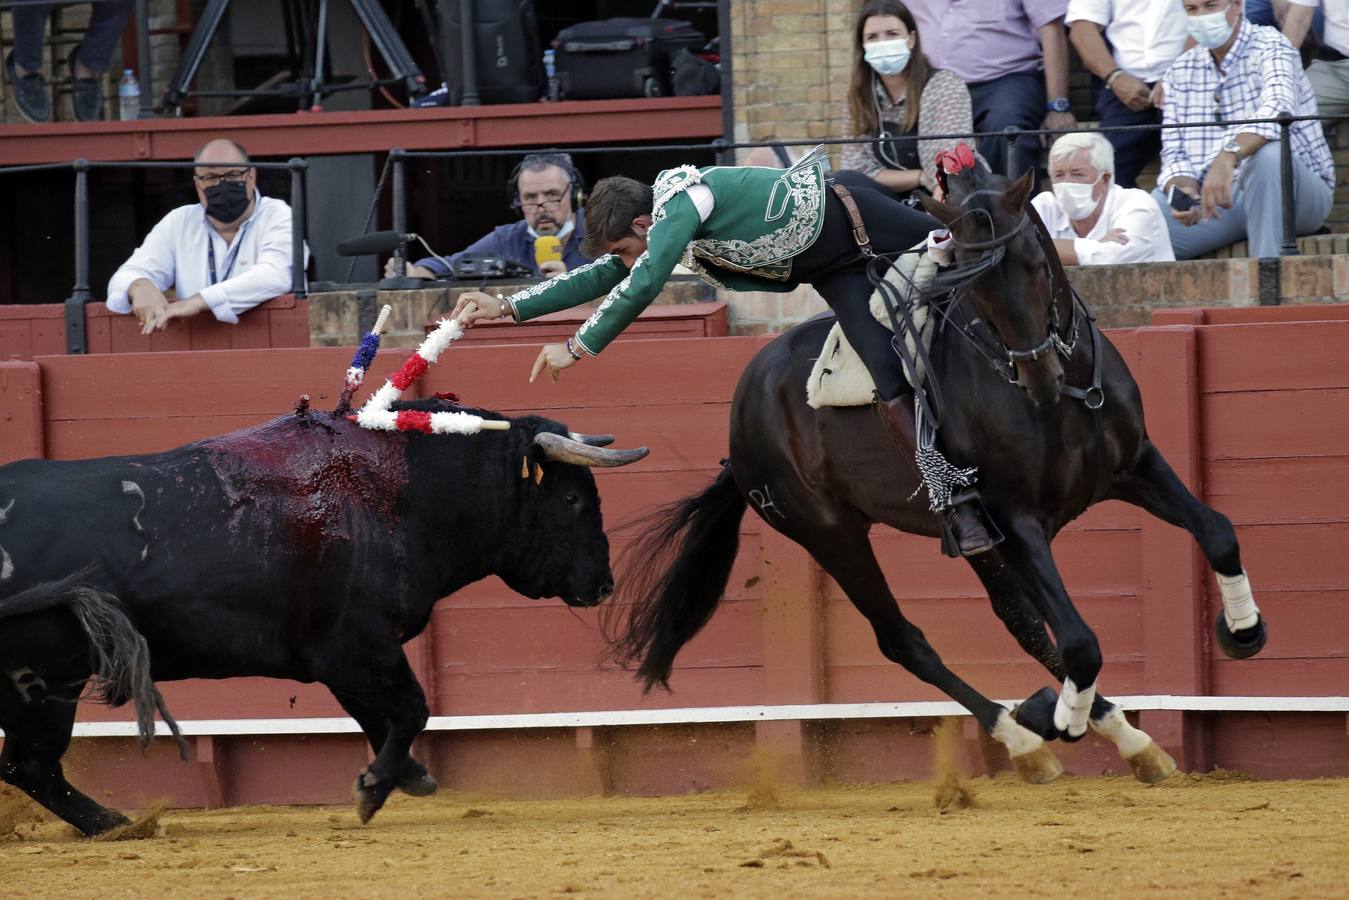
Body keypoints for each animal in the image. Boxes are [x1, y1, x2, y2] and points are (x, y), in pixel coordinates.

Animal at [612, 165, 1262, 782]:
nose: (1038, 378)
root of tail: (741, 413)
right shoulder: (1017, 520)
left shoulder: (1135, 464)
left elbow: (1218, 531)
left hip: (966, 537)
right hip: (830, 534)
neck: (1065, 390)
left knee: (1020, 621)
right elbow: (1080, 640)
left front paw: (1242, 631)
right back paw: (1026, 738)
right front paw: (1062, 722)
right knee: (906, 639)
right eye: (974, 287)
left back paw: (1117, 737)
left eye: (1035, 264)